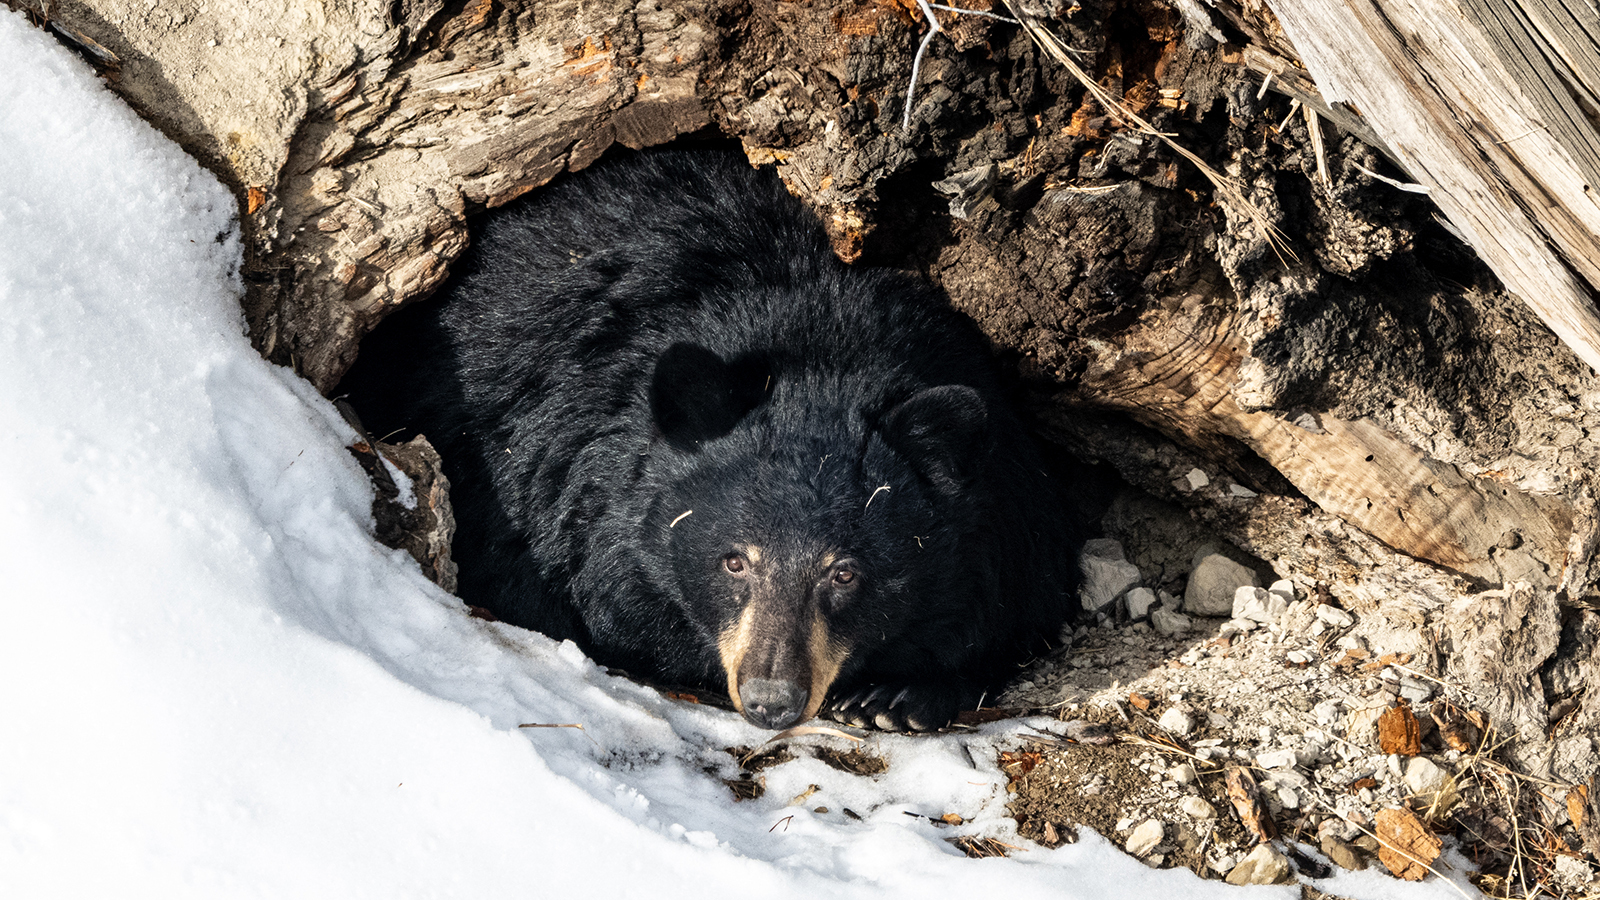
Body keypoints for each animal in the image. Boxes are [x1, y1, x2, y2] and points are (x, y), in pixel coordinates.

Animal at [342, 148, 1081, 730]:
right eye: (734, 561)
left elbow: (1012, 606)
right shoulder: (542, 477)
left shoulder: (1007, 499)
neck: (820, 344)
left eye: (845, 571)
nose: (772, 700)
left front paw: (897, 696)